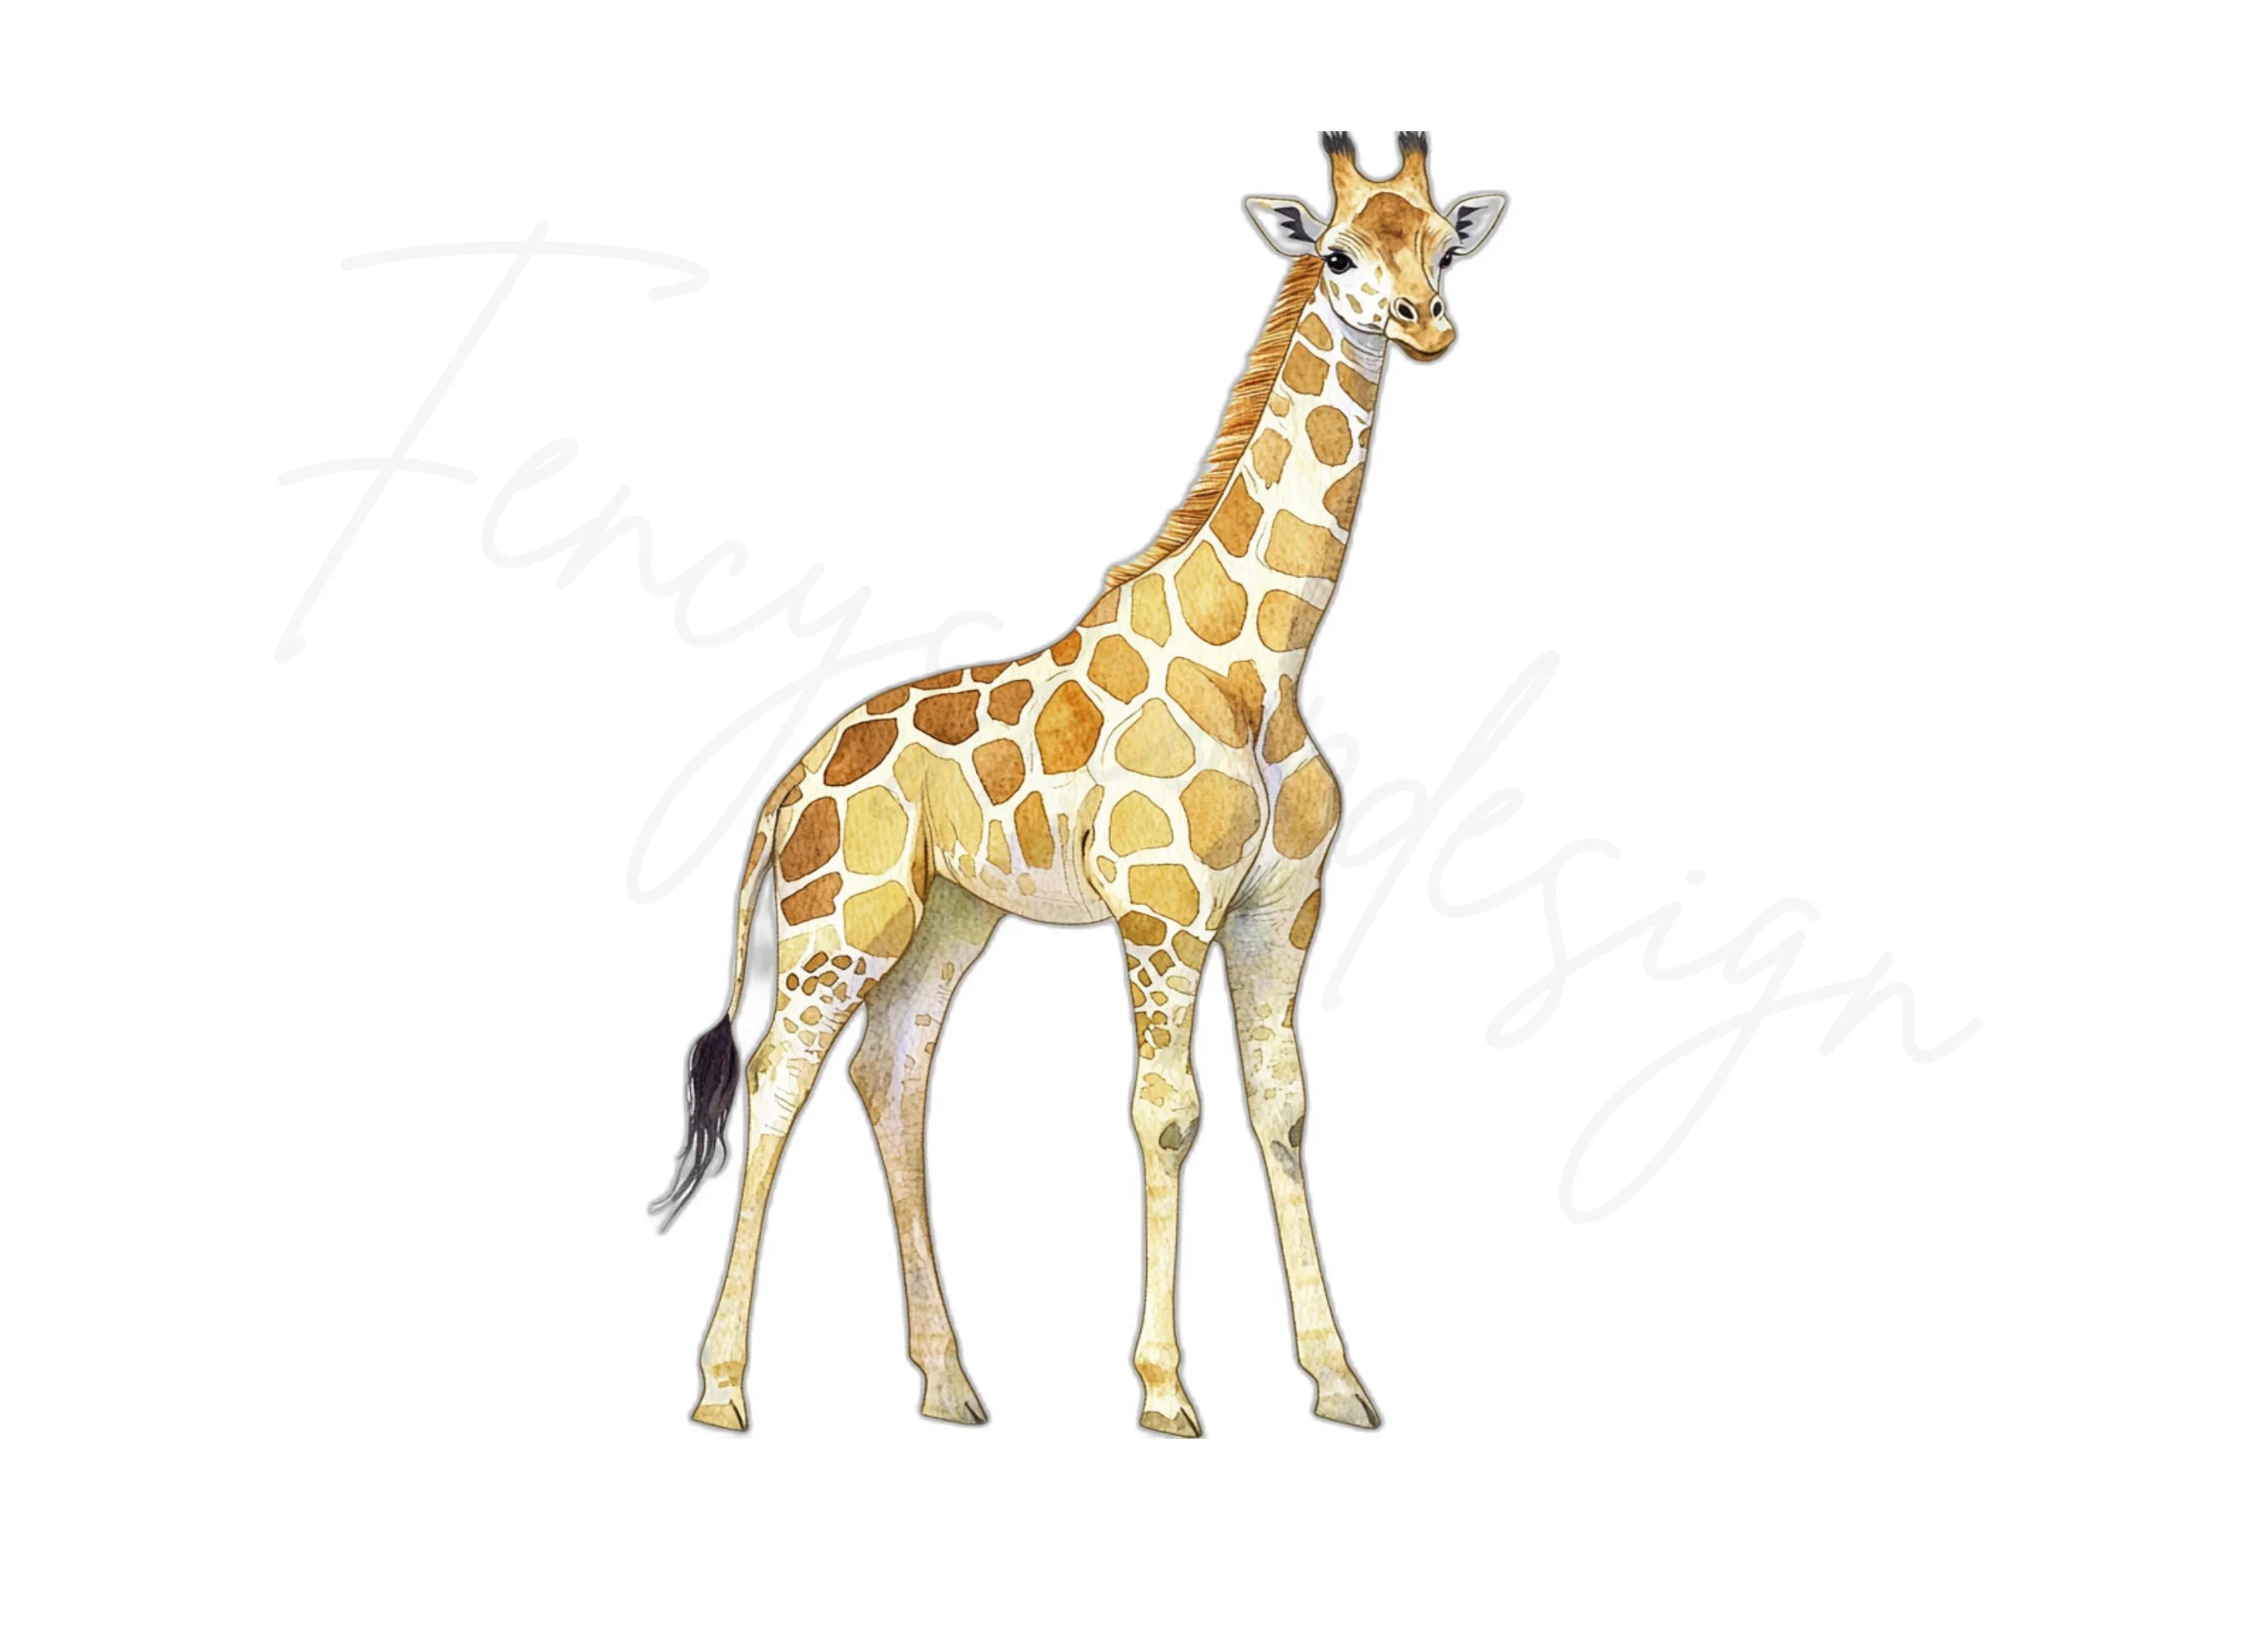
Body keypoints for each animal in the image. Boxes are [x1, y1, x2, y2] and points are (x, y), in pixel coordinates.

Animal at [655, 131, 1508, 1437]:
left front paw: (1337, 1380)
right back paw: (720, 1388)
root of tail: (790, 780)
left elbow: (1282, 1109)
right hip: (839, 921)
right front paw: (1164, 1391)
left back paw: (949, 1383)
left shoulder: (1279, 910)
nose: (1423, 324)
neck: (1262, 660)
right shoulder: (1164, 909)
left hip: (948, 921)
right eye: (1337, 250)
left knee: (889, 1076)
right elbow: (1168, 1113)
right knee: (774, 1079)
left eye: (1443, 245)